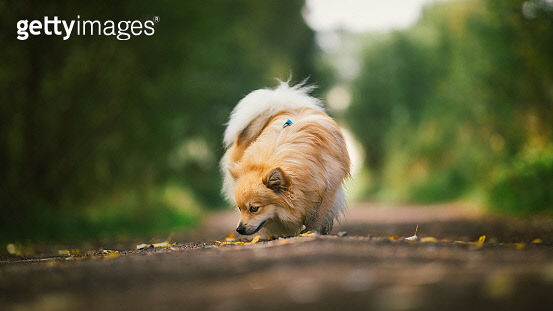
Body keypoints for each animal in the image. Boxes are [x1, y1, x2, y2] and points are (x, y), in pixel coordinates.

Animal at [220, 81, 350, 239]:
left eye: (254, 208)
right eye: (240, 208)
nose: (239, 229)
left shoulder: (328, 188)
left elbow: (319, 215)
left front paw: (313, 231)